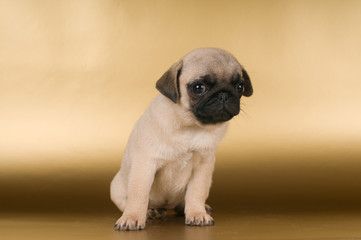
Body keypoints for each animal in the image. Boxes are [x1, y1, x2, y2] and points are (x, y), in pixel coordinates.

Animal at [109, 47, 253, 230]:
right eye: (199, 88)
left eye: (240, 87)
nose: (224, 94)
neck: (191, 126)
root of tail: (166, 205)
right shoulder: (145, 163)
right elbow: (138, 195)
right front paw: (132, 217)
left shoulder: (203, 167)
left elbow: (196, 192)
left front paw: (197, 213)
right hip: (116, 187)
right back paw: (151, 211)